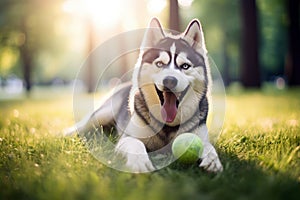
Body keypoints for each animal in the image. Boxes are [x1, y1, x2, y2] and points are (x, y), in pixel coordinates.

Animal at [67, 18, 223, 173]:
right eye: (159, 64)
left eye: (185, 66)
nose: (170, 80)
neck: (167, 126)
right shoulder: (127, 138)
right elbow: (136, 144)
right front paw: (139, 162)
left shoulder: (200, 136)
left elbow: (208, 146)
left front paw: (212, 160)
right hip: (102, 114)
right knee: (82, 126)